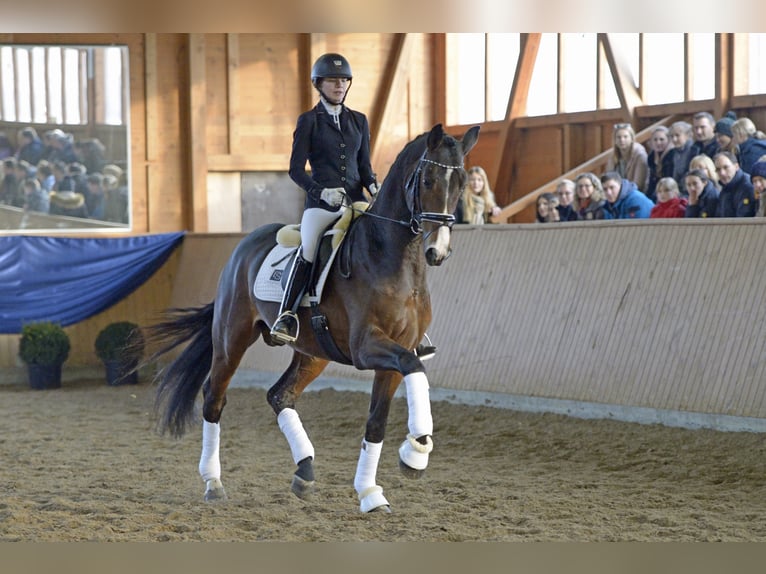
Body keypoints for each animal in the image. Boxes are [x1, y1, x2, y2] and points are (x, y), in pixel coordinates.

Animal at [148, 122, 480, 512]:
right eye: (427, 180)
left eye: (461, 185)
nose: (436, 252)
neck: (395, 259)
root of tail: (243, 248)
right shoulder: (366, 346)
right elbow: (415, 369)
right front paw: (415, 452)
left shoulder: (397, 351)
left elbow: (377, 421)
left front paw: (371, 491)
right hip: (232, 340)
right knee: (214, 397)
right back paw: (213, 483)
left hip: (313, 352)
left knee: (280, 395)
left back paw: (304, 470)